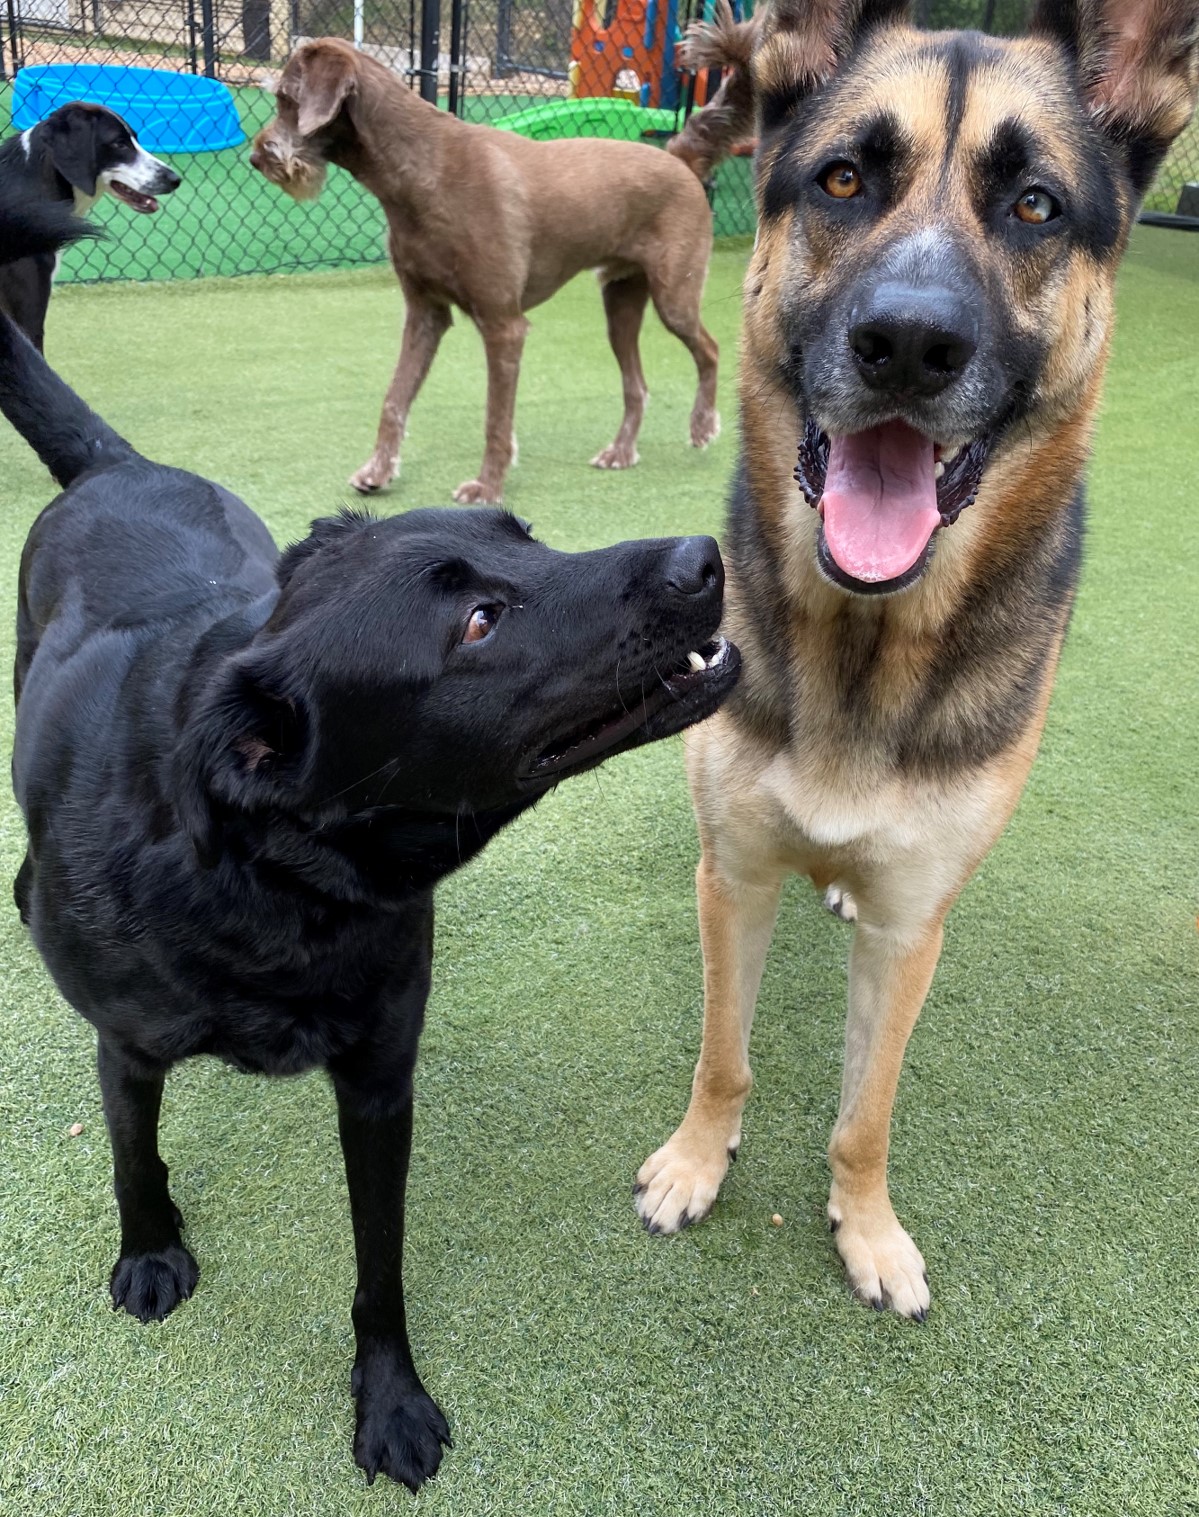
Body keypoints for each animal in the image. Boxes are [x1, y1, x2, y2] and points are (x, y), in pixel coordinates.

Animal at [0, 204, 740, 1492]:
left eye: (526, 538)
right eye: (477, 620)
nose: (705, 557)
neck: (278, 885)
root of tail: (118, 466)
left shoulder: (381, 1082)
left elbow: (378, 1267)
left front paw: (387, 1395)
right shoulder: (126, 1045)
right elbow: (133, 1150)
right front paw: (149, 1248)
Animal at [251, 38, 722, 503]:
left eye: (285, 99)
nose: (256, 157)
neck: (423, 171)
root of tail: (679, 160)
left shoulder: (503, 326)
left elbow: (496, 418)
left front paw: (488, 487)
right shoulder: (425, 315)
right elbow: (394, 400)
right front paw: (378, 471)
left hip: (674, 298)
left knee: (709, 350)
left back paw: (702, 425)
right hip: (620, 303)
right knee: (636, 385)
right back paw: (621, 452)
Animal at [634, 0, 1195, 1322]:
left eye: (1034, 205)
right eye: (841, 178)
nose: (906, 343)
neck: (865, 639)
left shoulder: (906, 932)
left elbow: (865, 1113)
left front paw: (867, 1226)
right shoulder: (734, 878)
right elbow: (722, 1054)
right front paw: (695, 1159)